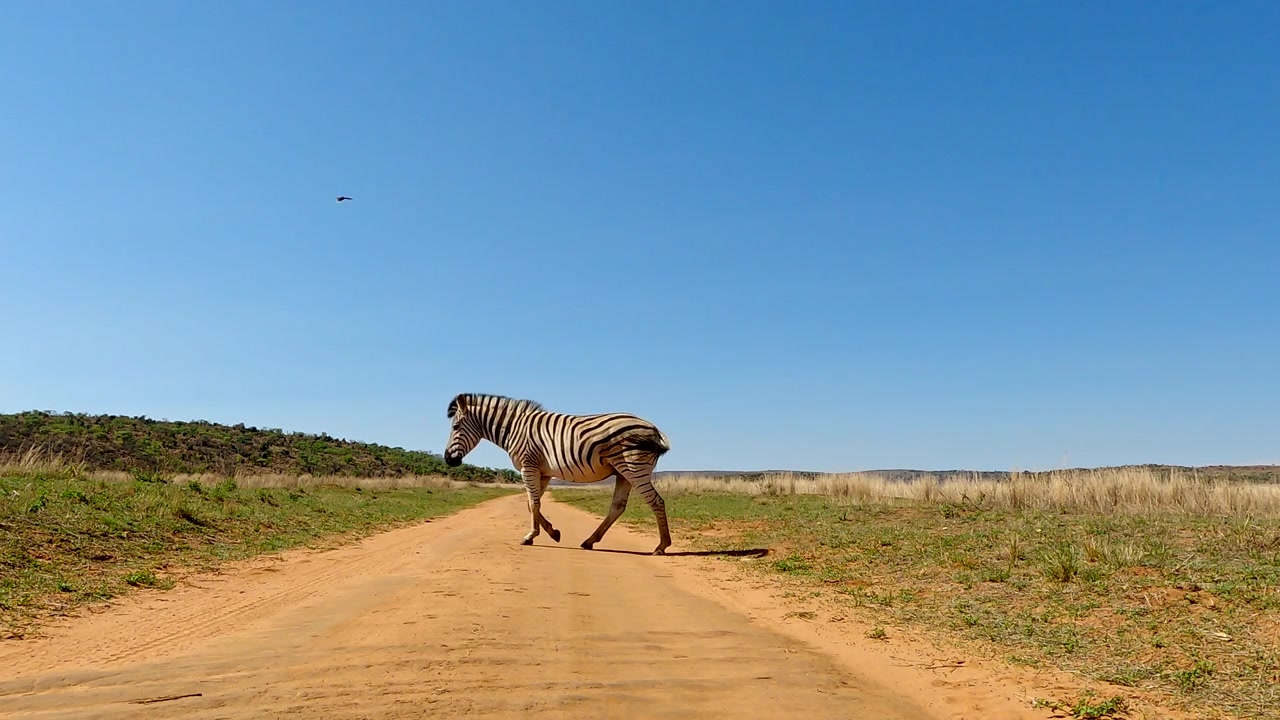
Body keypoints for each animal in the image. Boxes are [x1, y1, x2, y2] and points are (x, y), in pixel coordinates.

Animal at [442, 393, 674, 555]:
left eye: (456, 427)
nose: (448, 459)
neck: (514, 429)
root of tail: (654, 429)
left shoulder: (528, 466)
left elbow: (534, 503)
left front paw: (530, 536)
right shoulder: (542, 472)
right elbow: (532, 504)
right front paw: (553, 533)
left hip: (634, 468)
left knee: (656, 501)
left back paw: (661, 546)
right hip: (622, 472)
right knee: (617, 507)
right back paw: (590, 541)